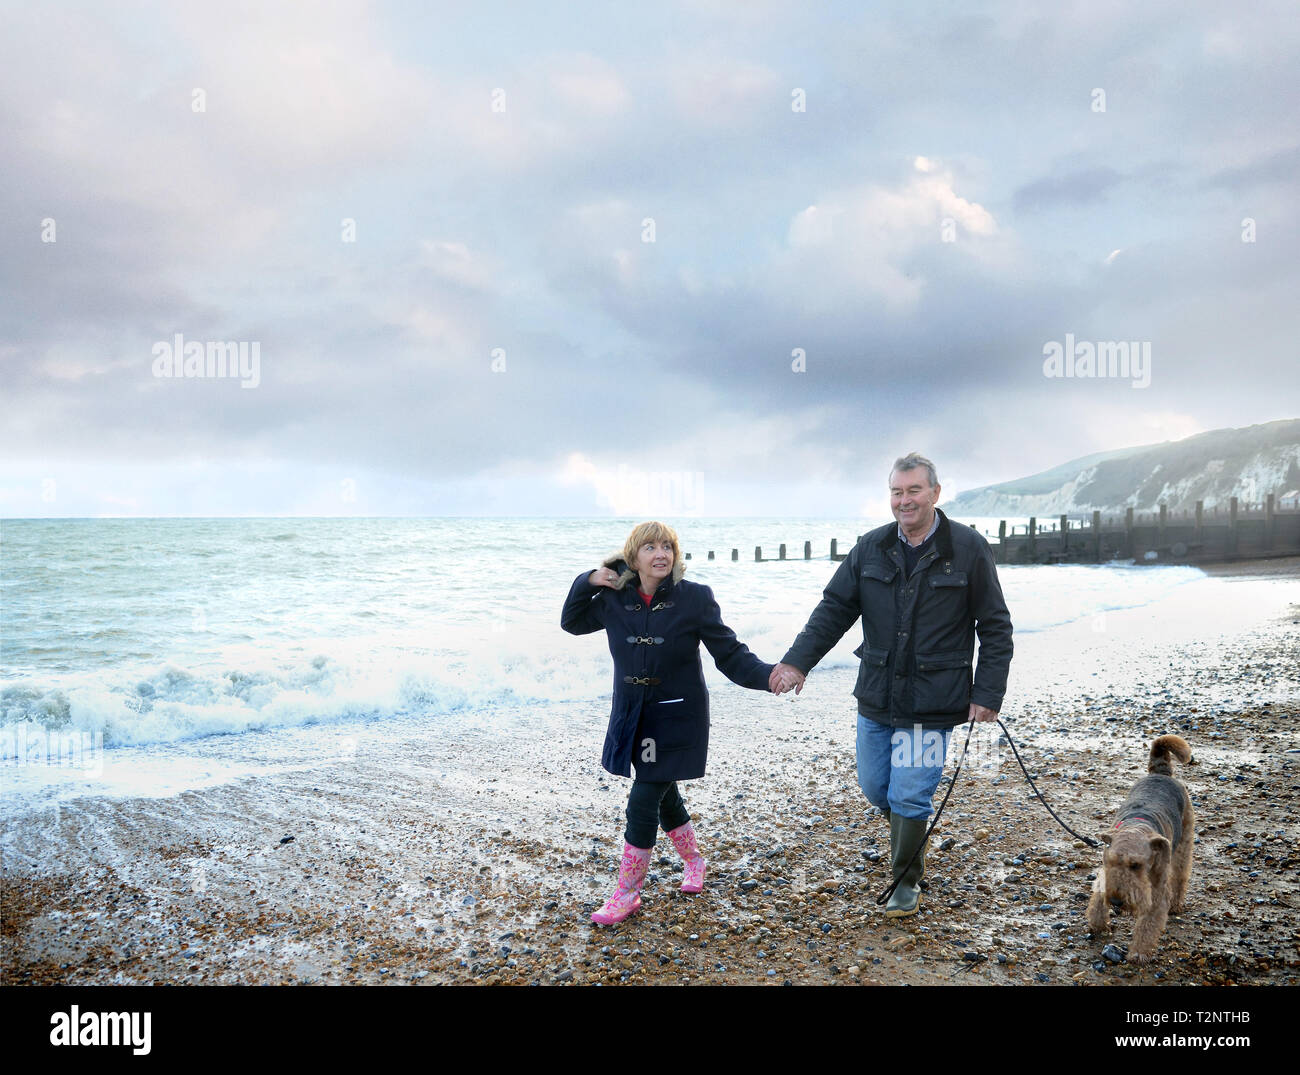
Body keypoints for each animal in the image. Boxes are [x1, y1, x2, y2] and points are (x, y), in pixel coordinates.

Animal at [1086, 738, 1196, 961]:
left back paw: (1175, 905)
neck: (1137, 826)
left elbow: (1147, 925)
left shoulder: (1157, 891)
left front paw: (1138, 953)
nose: (1116, 901)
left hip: (1184, 844)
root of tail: (1161, 773)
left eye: (1136, 865)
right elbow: (1098, 900)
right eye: (1109, 861)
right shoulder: (1104, 875)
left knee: (1180, 877)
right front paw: (1098, 924)